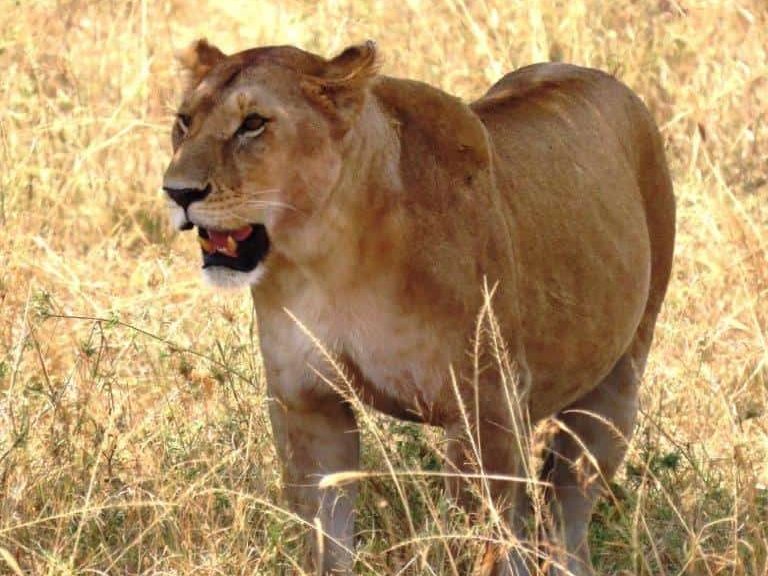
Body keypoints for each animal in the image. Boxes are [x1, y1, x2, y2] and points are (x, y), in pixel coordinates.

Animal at [162, 39, 675, 575]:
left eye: (253, 123)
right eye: (184, 121)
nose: (177, 192)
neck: (328, 256)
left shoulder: (487, 407)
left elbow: (486, 538)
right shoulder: (306, 402)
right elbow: (326, 534)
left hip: (613, 390)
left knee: (563, 518)